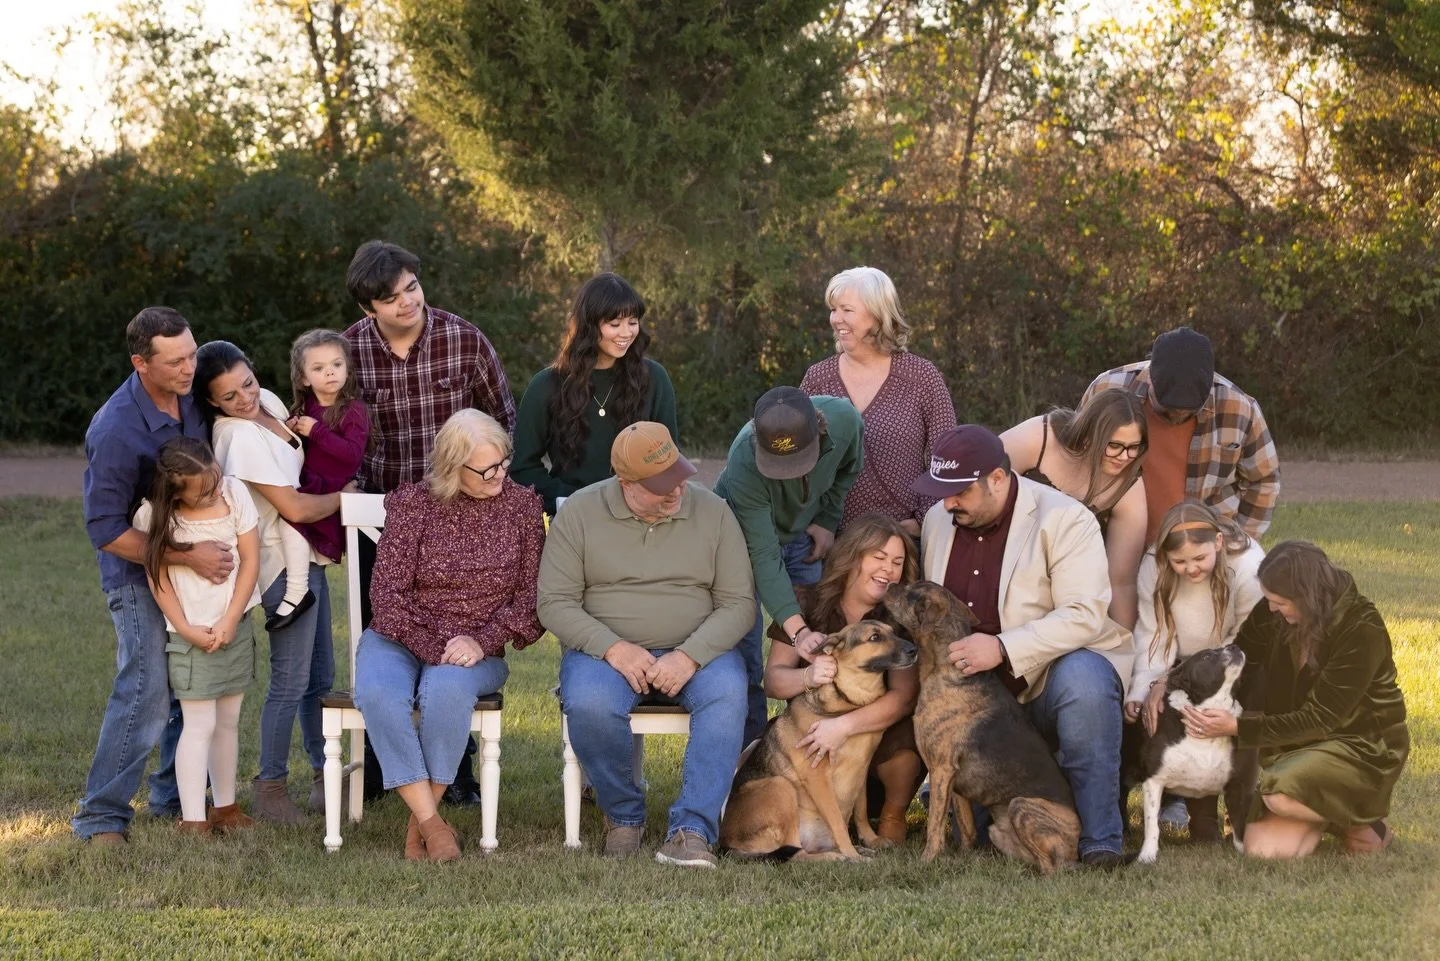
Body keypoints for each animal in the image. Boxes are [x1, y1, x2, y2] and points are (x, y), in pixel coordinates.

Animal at [719, 620, 917, 862]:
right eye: (874, 637)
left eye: (893, 632)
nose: (914, 650)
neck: (850, 704)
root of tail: (725, 844)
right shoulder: (818, 777)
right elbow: (838, 821)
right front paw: (853, 855)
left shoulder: (861, 768)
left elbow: (860, 811)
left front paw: (869, 840)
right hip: (781, 786)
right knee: (797, 854)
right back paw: (837, 857)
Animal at [884, 580, 1080, 875]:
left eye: (912, 592)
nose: (890, 584)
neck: (945, 669)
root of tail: (1076, 851)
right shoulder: (954, 783)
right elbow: (967, 828)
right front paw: (963, 859)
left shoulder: (940, 770)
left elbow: (935, 827)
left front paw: (927, 861)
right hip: (1000, 831)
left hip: (1022, 807)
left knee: (1051, 867)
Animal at [1123, 644, 1253, 864]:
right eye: (1207, 655)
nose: (1233, 646)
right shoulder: (1154, 781)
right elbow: (1152, 825)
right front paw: (1147, 856)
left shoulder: (1237, 785)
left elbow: (1239, 824)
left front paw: (1246, 852)